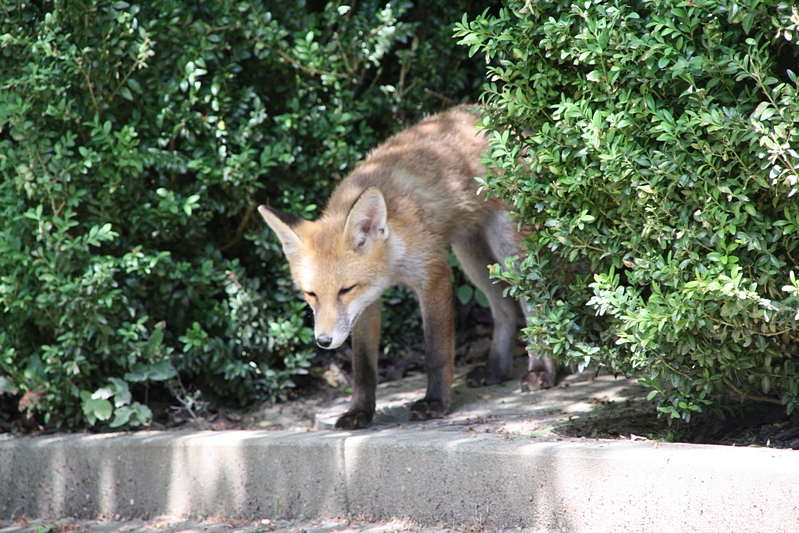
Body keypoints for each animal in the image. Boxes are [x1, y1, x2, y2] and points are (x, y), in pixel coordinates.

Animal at [258, 105, 554, 429]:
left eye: (345, 289)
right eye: (311, 294)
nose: (323, 341)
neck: (393, 260)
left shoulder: (434, 274)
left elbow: (436, 352)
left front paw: (435, 402)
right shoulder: (366, 304)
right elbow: (363, 367)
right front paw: (359, 411)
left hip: (508, 249)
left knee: (534, 306)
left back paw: (542, 370)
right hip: (473, 258)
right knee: (505, 310)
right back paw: (495, 370)